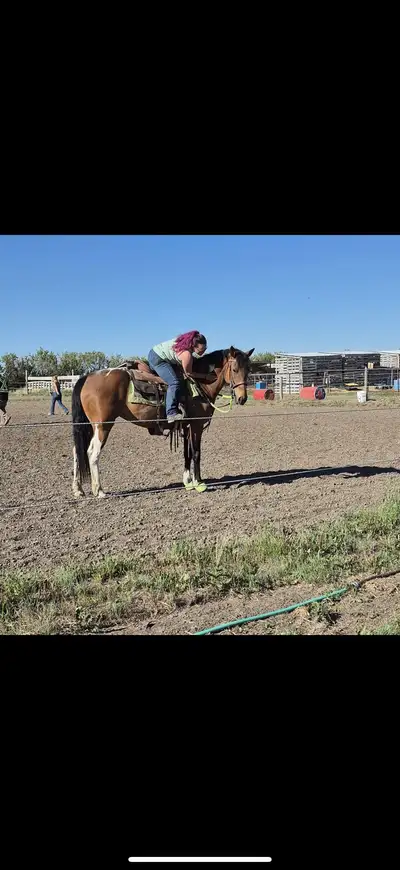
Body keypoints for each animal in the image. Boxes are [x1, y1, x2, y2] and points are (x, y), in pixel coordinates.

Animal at [71, 346, 254, 499]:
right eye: (235, 369)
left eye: (248, 370)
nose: (242, 398)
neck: (199, 384)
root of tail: (87, 377)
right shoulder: (196, 426)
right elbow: (196, 453)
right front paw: (199, 483)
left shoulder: (186, 426)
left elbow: (187, 453)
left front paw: (187, 481)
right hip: (103, 426)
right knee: (92, 453)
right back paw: (99, 491)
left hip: (88, 426)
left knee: (77, 451)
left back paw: (78, 489)